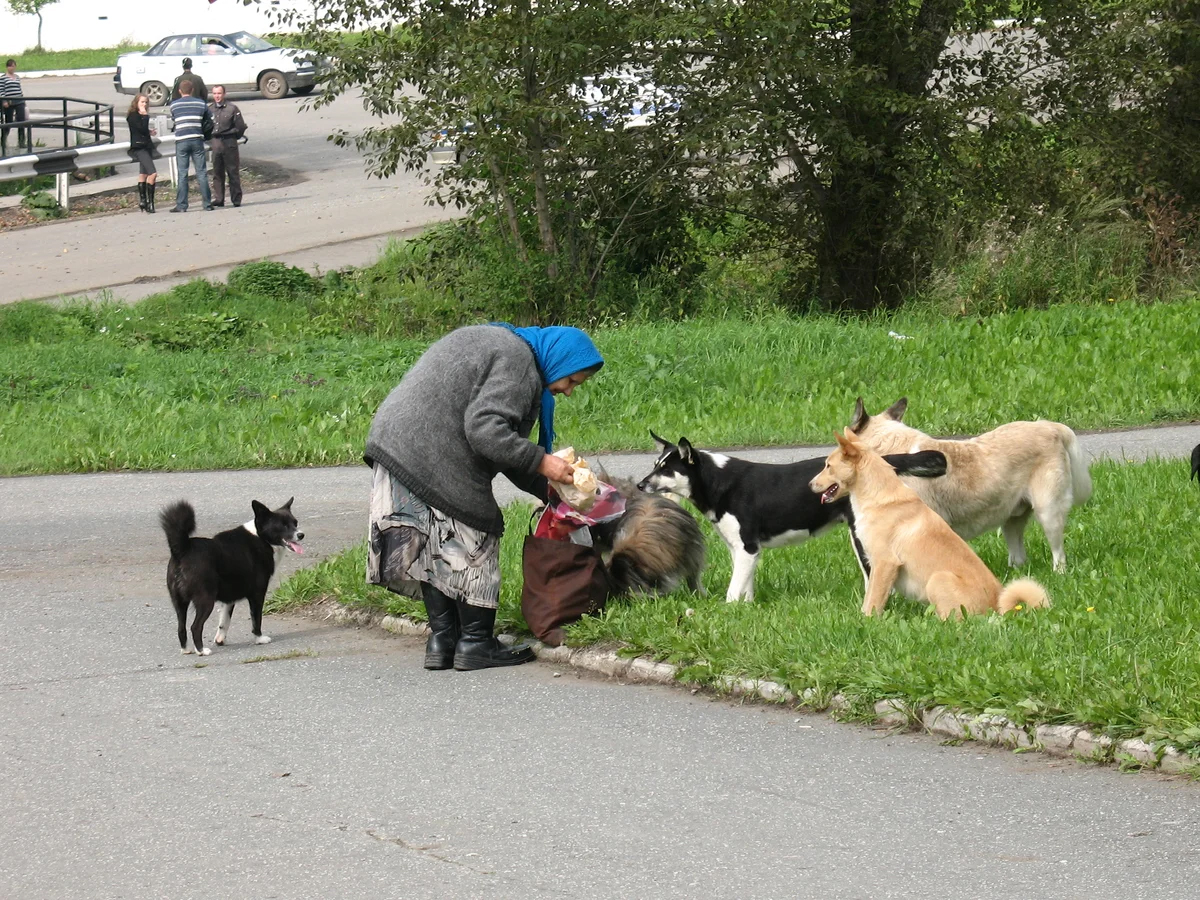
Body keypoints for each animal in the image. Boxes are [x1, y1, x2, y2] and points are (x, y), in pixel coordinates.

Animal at [160, 501, 304, 657]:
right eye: (283, 525)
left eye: (295, 523)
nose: (301, 534)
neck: (260, 537)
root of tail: (182, 549)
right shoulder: (257, 594)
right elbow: (256, 619)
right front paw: (259, 639)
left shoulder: (229, 599)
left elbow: (225, 621)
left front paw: (220, 640)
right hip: (205, 599)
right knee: (195, 626)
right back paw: (201, 650)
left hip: (179, 602)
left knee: (181, 627)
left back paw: (186, 649)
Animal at [638, 434, 945, 602]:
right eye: (654, 465)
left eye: (667, 469)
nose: (640, 485)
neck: (717, 481)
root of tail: (883, 462)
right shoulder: (743, 550)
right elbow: (745, 589)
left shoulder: (747, 548)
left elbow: (732, 591)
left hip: (861, 539)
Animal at [806, 432, 1051, 619]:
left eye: (828, 466)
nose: (809, 485)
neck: (879, 497)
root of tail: (998, 607)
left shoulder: (885, 563)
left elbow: (872, 601)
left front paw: (865, 621)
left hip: (938, 579)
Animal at [849, 400, 1094, 573]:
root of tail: (1050, 426)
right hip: (1011, 519)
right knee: (1018, 553)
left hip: (1049, 512)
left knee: (1058, 552)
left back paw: (1058, 574)